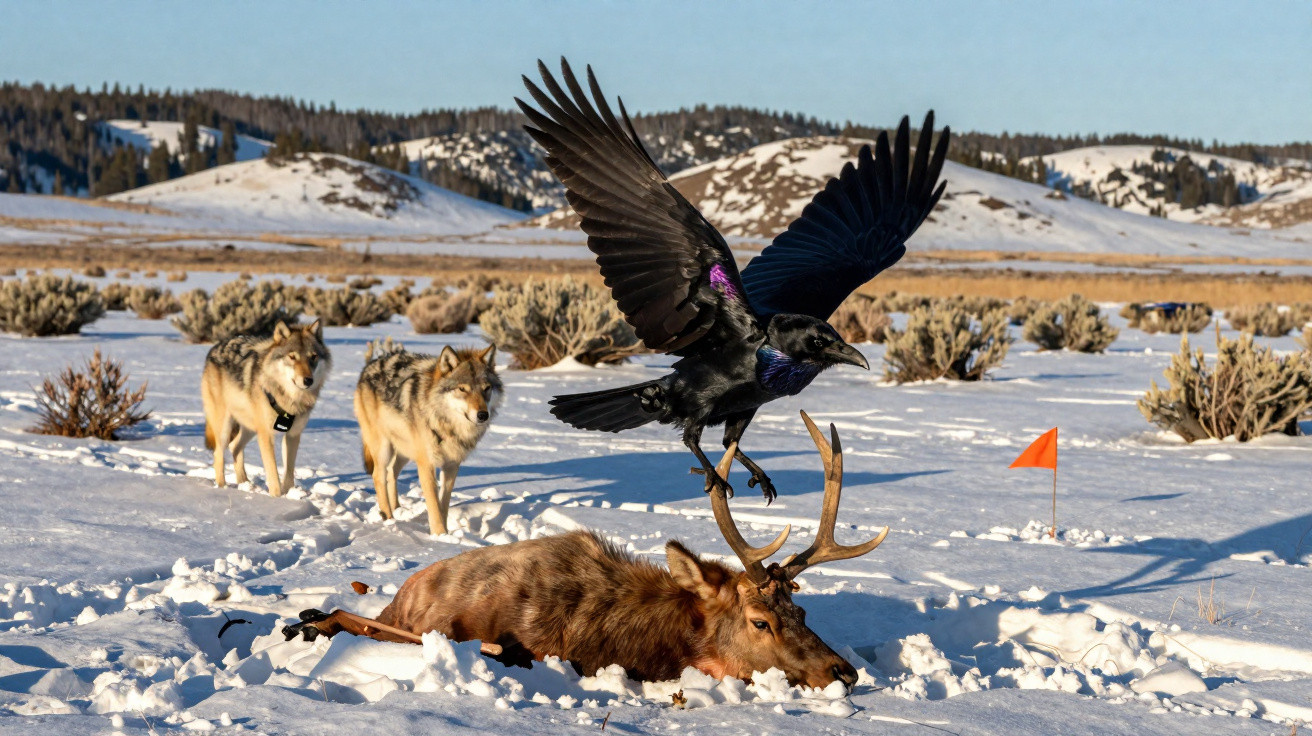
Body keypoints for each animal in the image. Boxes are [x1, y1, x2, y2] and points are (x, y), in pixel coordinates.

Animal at [201, 320, 332, 497]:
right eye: (292, 357)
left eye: (313, 357)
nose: (308, 380)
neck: (289, 399)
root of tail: (214, 347)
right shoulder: (266, 435)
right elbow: (273, 473)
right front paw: (276, 498)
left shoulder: (293, 435)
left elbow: (288, 473)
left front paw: (289, 494)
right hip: (226, 427)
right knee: (218, 454)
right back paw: (223, 488)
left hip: (250, 428)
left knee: (234, 446)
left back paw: (245, 484)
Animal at [354, 338, 502, 535]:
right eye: (462, 389)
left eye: (486, 389)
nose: (483, 415)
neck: (447, 426)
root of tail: (370, 364)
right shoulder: (426, 464)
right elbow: (433, 505)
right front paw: (439, 535)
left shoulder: (452, 465)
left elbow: (444, 504)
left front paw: (446, 533)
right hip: (385, 449)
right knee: (378, 475)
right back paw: (388, 517)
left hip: (405, 452)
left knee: (392, 472)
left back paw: (397, 509)